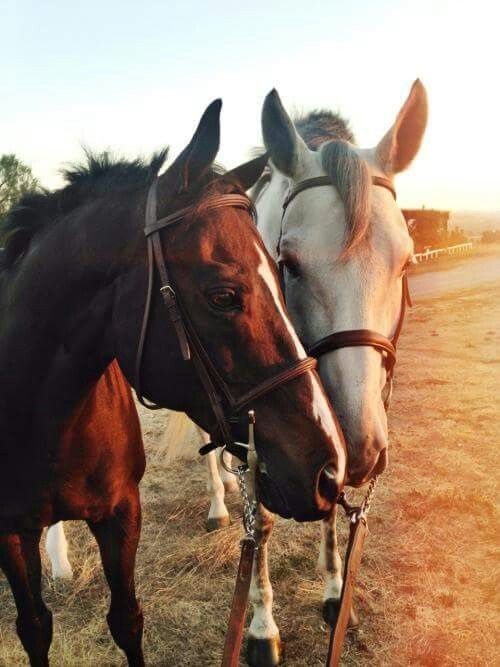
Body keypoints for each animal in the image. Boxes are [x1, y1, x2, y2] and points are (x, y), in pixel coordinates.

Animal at [0, 100, 348, 667]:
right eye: (223, 295)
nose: (331, 469)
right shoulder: (9, 534)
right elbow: (34, 628)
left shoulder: (122, 513)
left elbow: (127, 620)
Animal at [47, 82, 426, 667]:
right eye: (288, 262)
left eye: (405, 263)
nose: (362, 448)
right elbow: (262, 523)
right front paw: (262, 629)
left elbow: (329, 510)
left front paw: (335, 593)